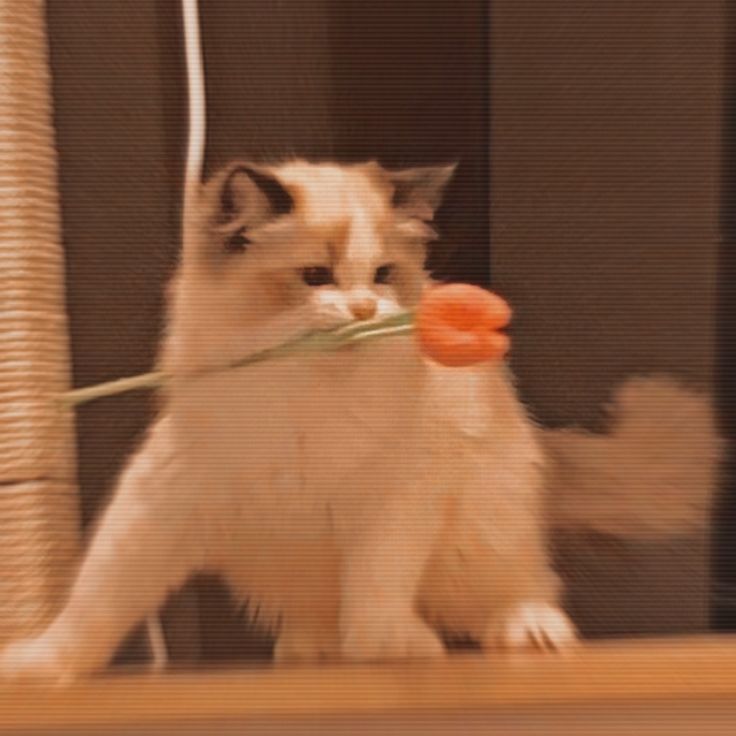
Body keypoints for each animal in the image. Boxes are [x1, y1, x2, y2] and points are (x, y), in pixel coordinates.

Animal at [0, 158, 716, 680]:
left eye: (382, 274)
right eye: (316, 276)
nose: (367, 311)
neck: (304, 398)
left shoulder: (396, 500)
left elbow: (378, 585)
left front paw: (387, 646)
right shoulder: (161, 501)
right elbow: (93, 605)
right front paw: (38, 668)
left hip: (481, 532)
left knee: (520, 589)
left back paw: (525, 630)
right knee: (318, 615)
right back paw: (313, 648)